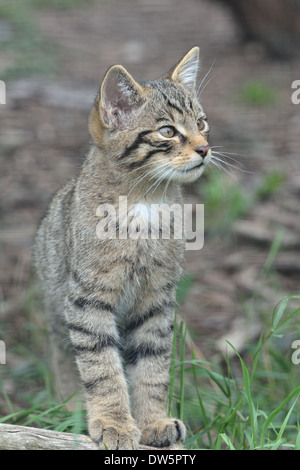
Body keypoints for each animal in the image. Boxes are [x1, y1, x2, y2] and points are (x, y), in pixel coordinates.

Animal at [34, 46, 211, 448]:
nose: (206, 149)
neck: (145, 204)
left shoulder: (156, 301)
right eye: (167, 131)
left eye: (202, 123)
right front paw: (114, 423)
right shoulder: (88, 299)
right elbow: (102, 368)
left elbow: (152, 367)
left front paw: (152, 422)